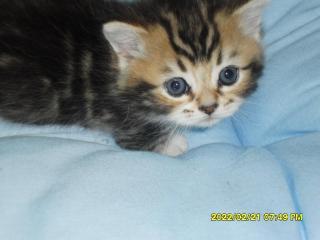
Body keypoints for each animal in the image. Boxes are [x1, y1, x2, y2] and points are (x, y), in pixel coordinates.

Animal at [0, 0, 268, 157]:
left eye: (228, 75)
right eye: (176, 86)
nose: (210, 108)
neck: (111, 62)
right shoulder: (114, 114)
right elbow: (136, 136)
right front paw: (172, 144)